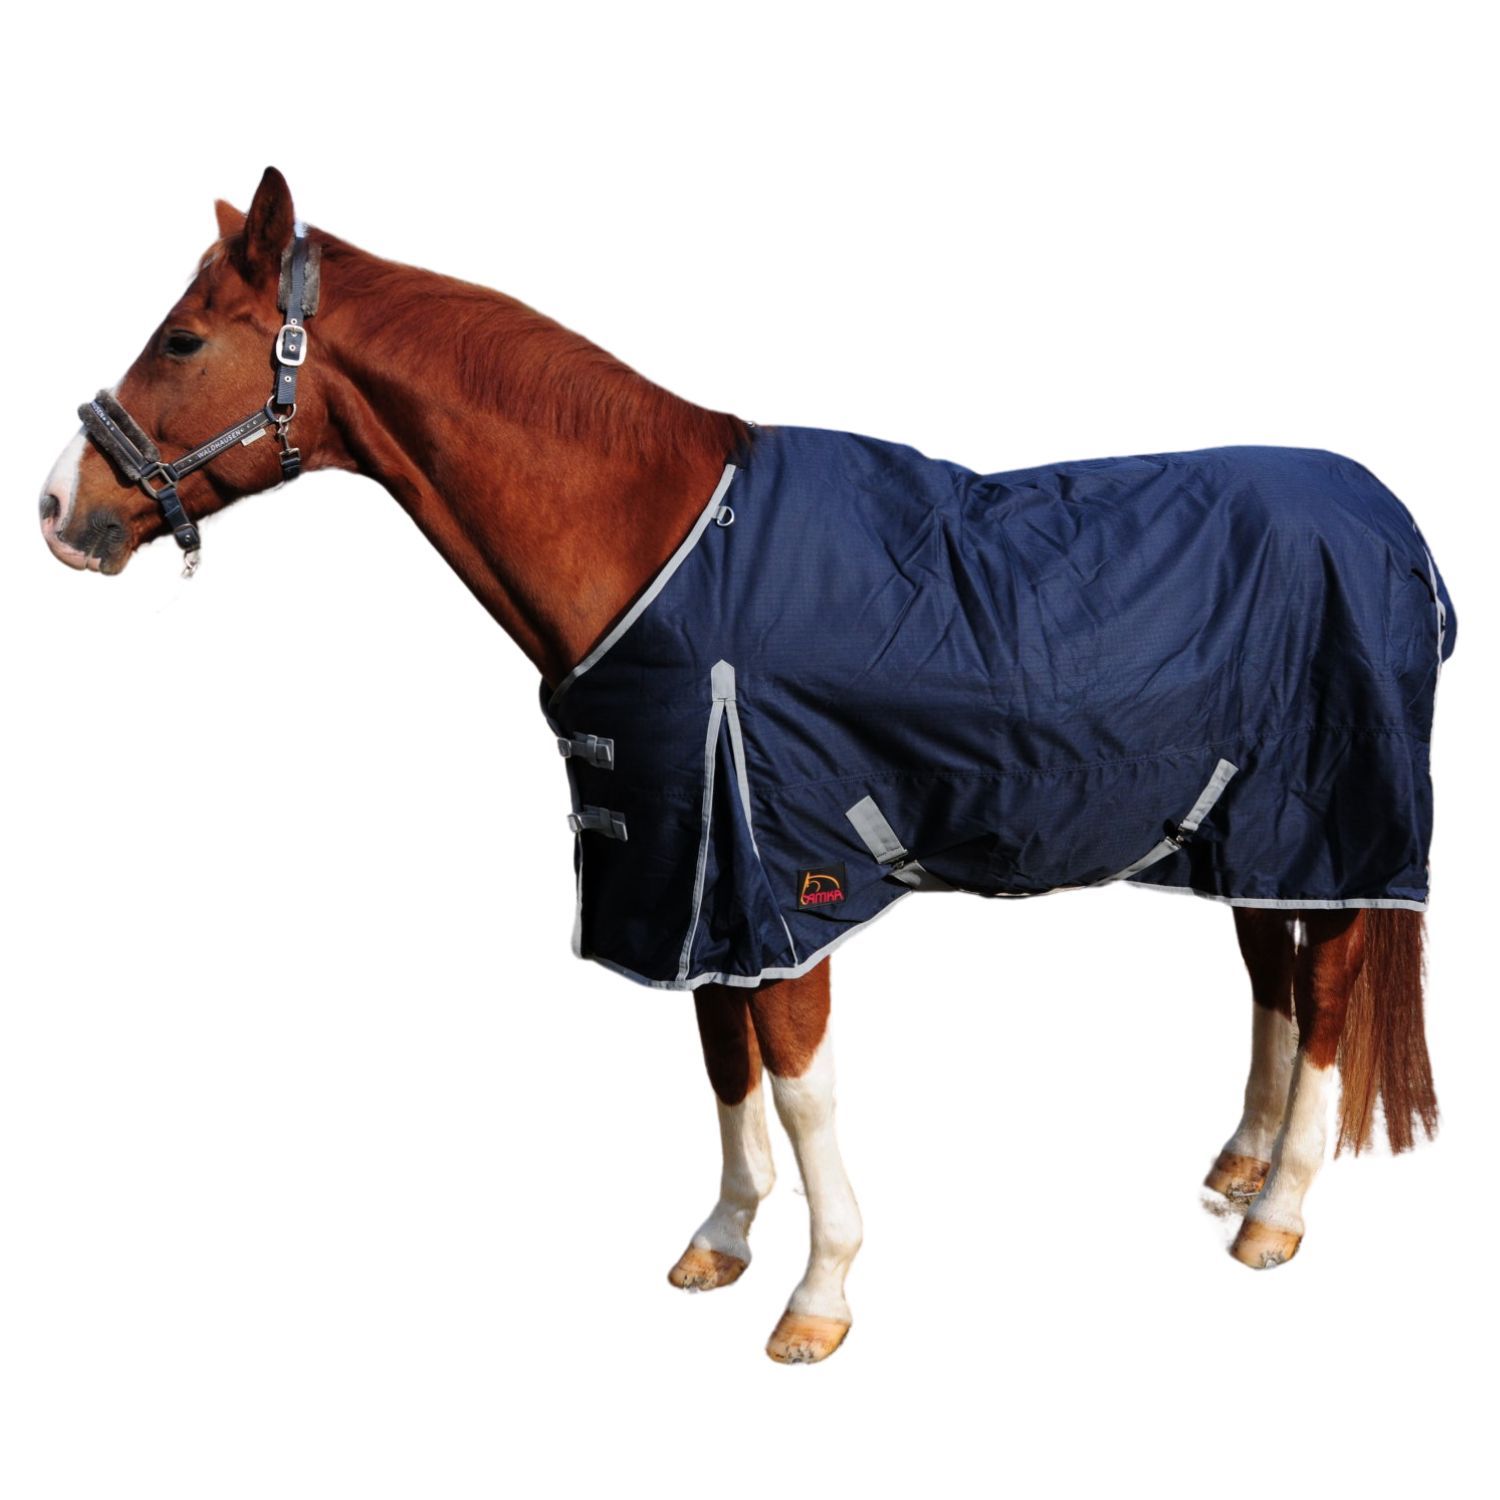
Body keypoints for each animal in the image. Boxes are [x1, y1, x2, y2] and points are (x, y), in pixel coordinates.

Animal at [39, 167, 1450, 1365]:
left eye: (181, 341)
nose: (59, 509)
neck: (661, 546)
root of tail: (1394, 523)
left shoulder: (778, 874)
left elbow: (801, 1084)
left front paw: (819, 1298)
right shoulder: (686, 868)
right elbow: (724, 1064)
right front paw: (720, 1243)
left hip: (1333, 823)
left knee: (1327, 999)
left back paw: (1278, 1216)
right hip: (1248, 835)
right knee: (1270, 978)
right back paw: (1238, 1168)